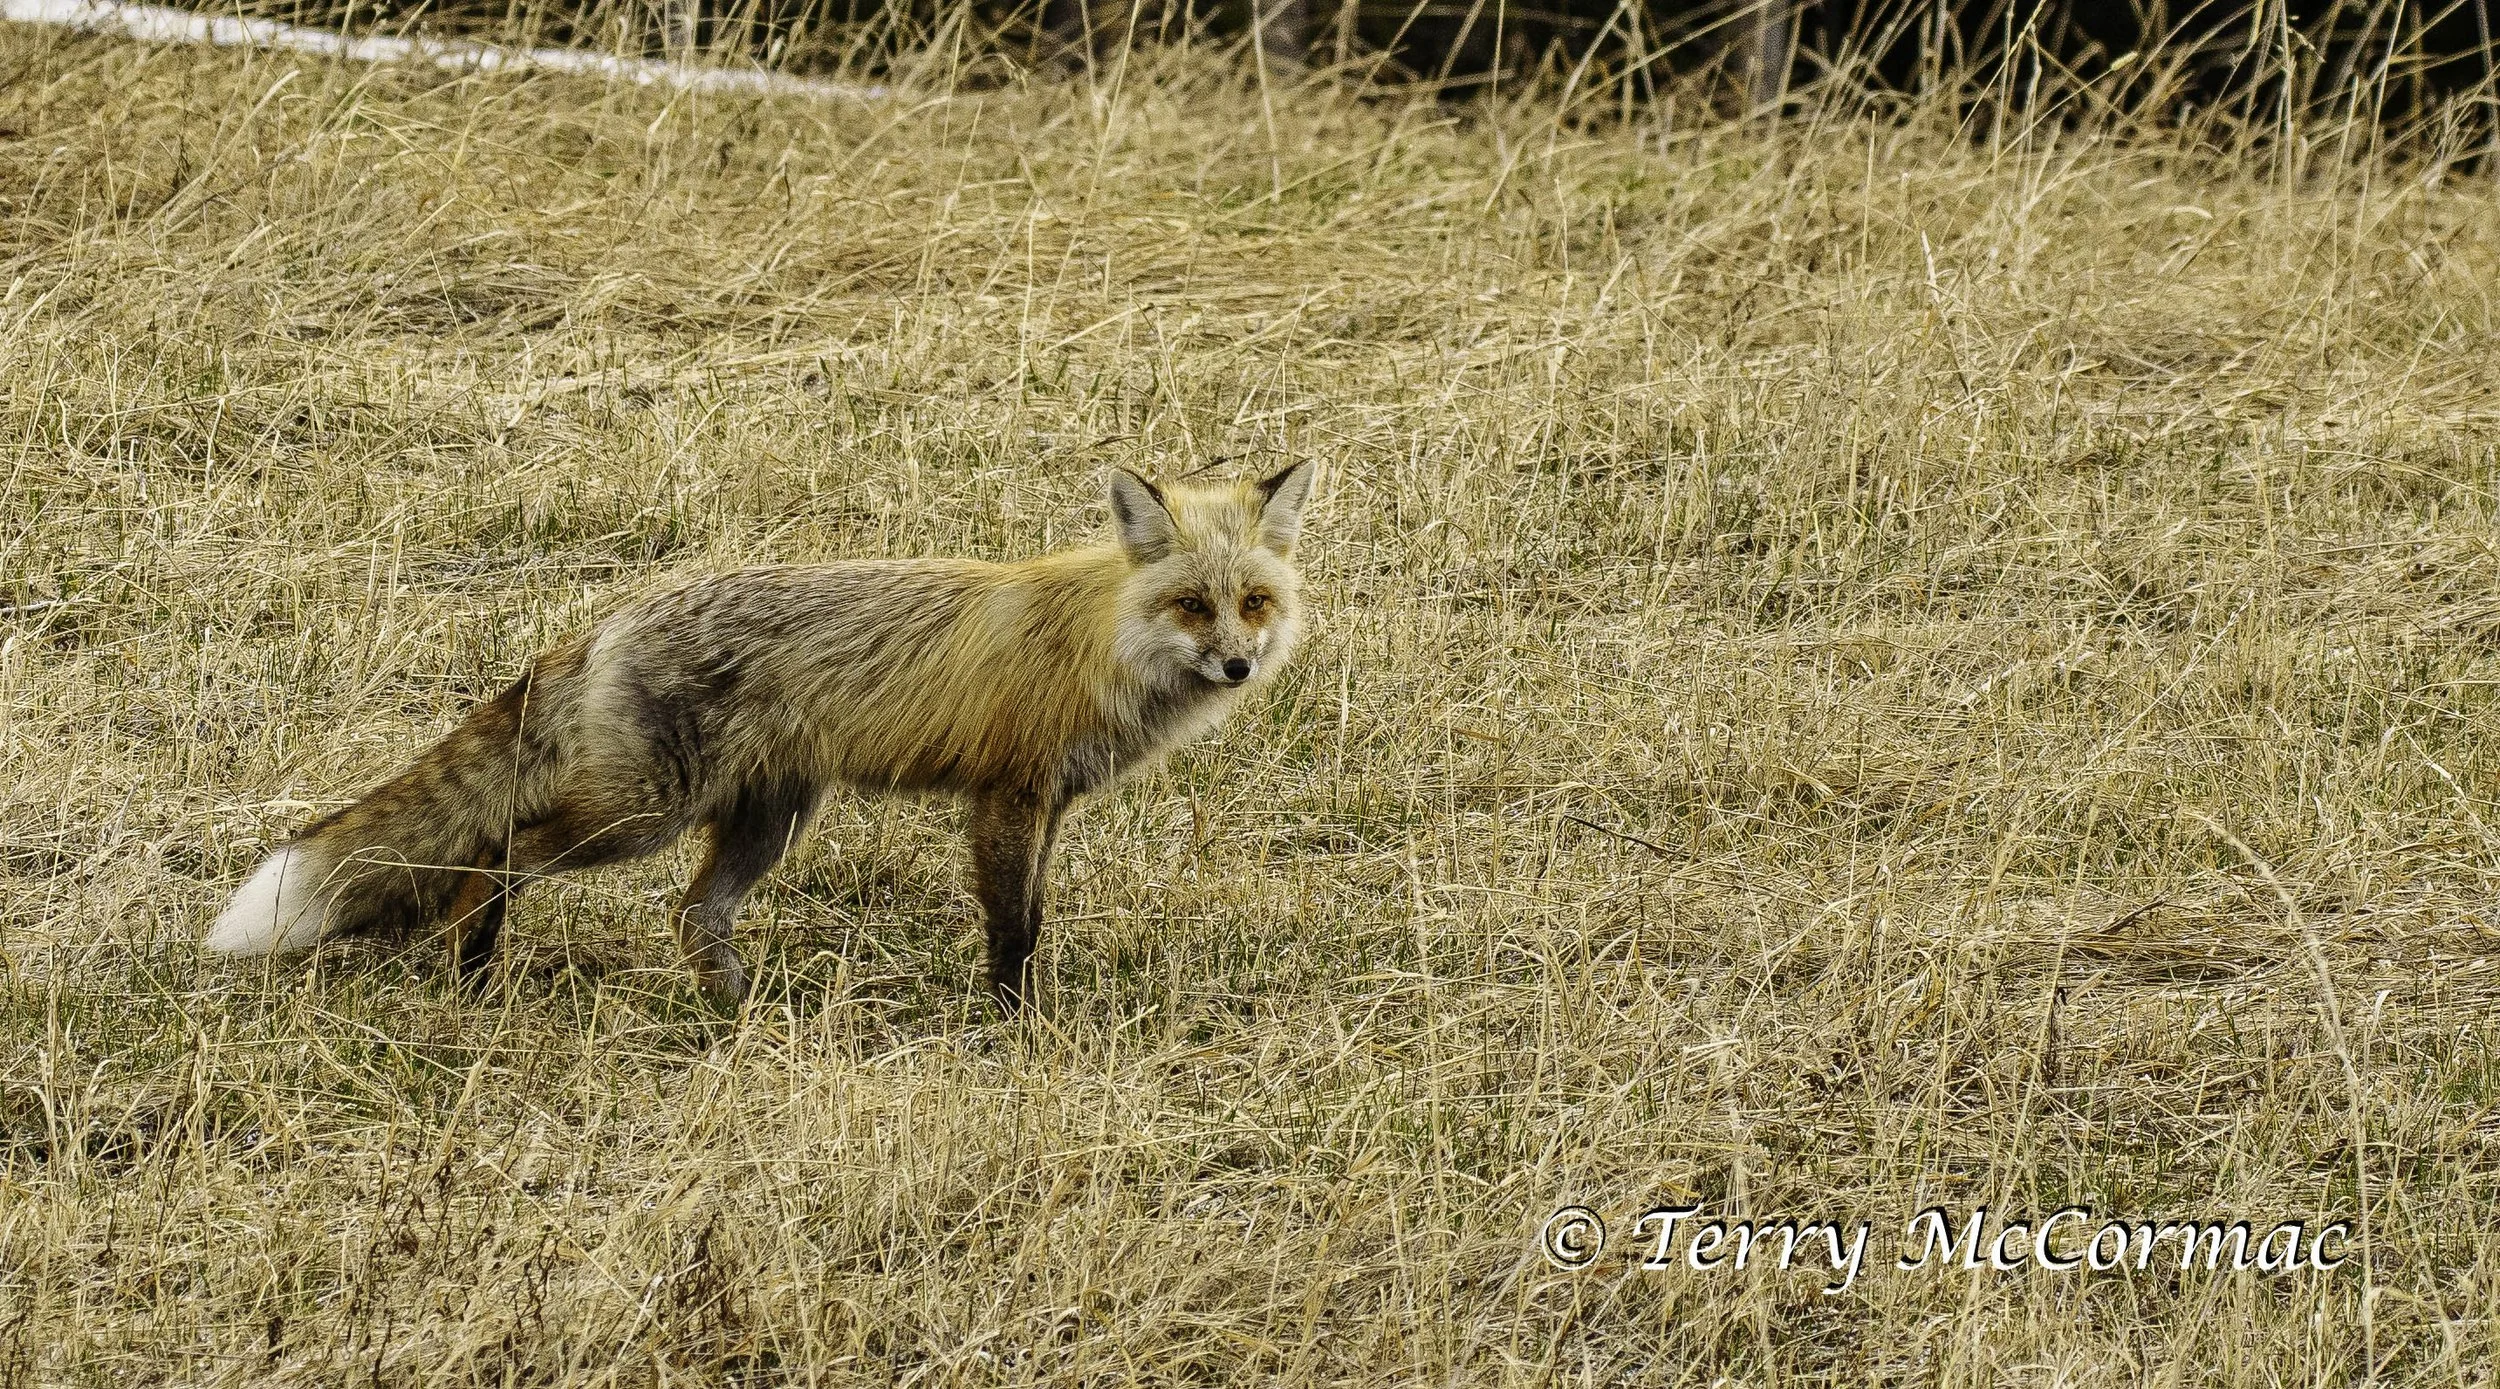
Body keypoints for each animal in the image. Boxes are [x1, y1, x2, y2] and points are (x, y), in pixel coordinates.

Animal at [203, 461, 1315, 1012]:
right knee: (502, 850)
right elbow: (1013, 928)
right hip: (641, 815)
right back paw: (474, 971)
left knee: (694, 912)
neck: (1098, 640)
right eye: (1190, 604)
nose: (1237, 667)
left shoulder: (1050, 805)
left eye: (1253, 603)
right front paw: (1012, 1026)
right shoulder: (1006, 795)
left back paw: (736, 1015)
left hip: (766, 822)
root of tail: (609, 620)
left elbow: (1032, 917)